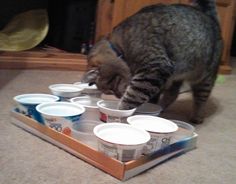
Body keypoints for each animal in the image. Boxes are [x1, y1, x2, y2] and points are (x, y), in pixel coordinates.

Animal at [81, 0, 223, 124]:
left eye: (111, 89)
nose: (118, 95)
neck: (120, 47)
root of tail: (210, 17)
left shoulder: (154, 69)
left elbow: (131, 98)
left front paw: (121, 111)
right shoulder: (158, 79)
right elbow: (151, 98)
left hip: (204, 78)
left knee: (201, 98)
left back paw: (197, 117)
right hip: (176, 78)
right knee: (173, 94)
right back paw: (162, 109)